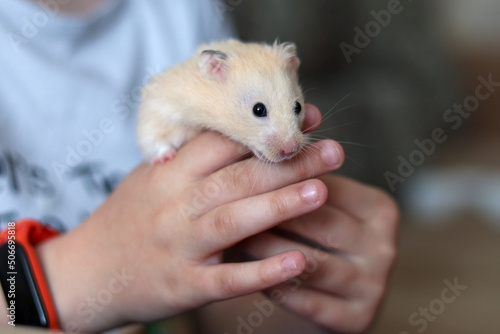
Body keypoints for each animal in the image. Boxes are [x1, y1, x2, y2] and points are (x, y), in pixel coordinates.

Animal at [137, 39, 304, 164]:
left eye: (298, 107)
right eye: (258, 109)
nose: (291, 150)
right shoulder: (160, 109)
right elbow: (156, 139)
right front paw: (166, 157)